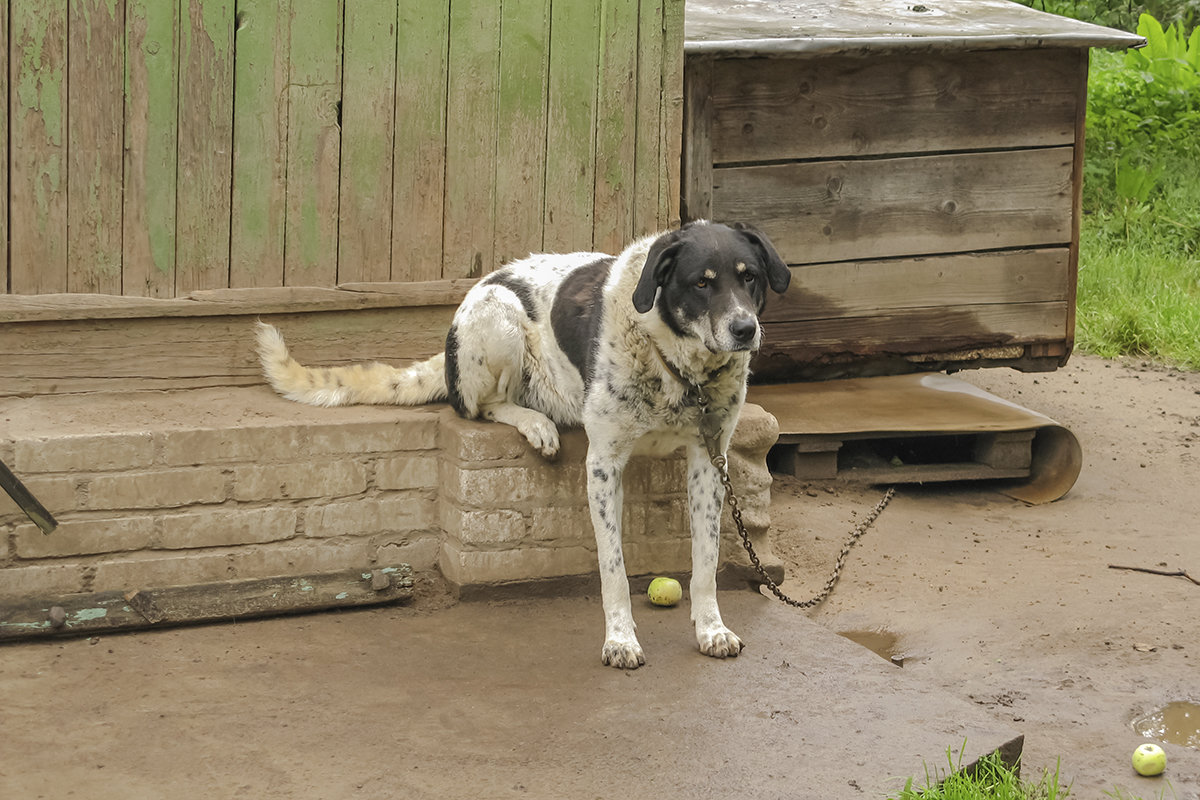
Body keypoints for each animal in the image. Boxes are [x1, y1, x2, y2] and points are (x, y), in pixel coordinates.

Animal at [258, 219, 792, 671]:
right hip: (500, 317)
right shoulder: (604, 465)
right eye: (701, 283)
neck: (679, 368)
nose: (745, 330)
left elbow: (705, 561)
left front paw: (711, 630)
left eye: (749, 278)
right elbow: (613, 568)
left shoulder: (709, 459)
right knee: (484, 405)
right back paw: (536, 423)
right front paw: (620, 640)